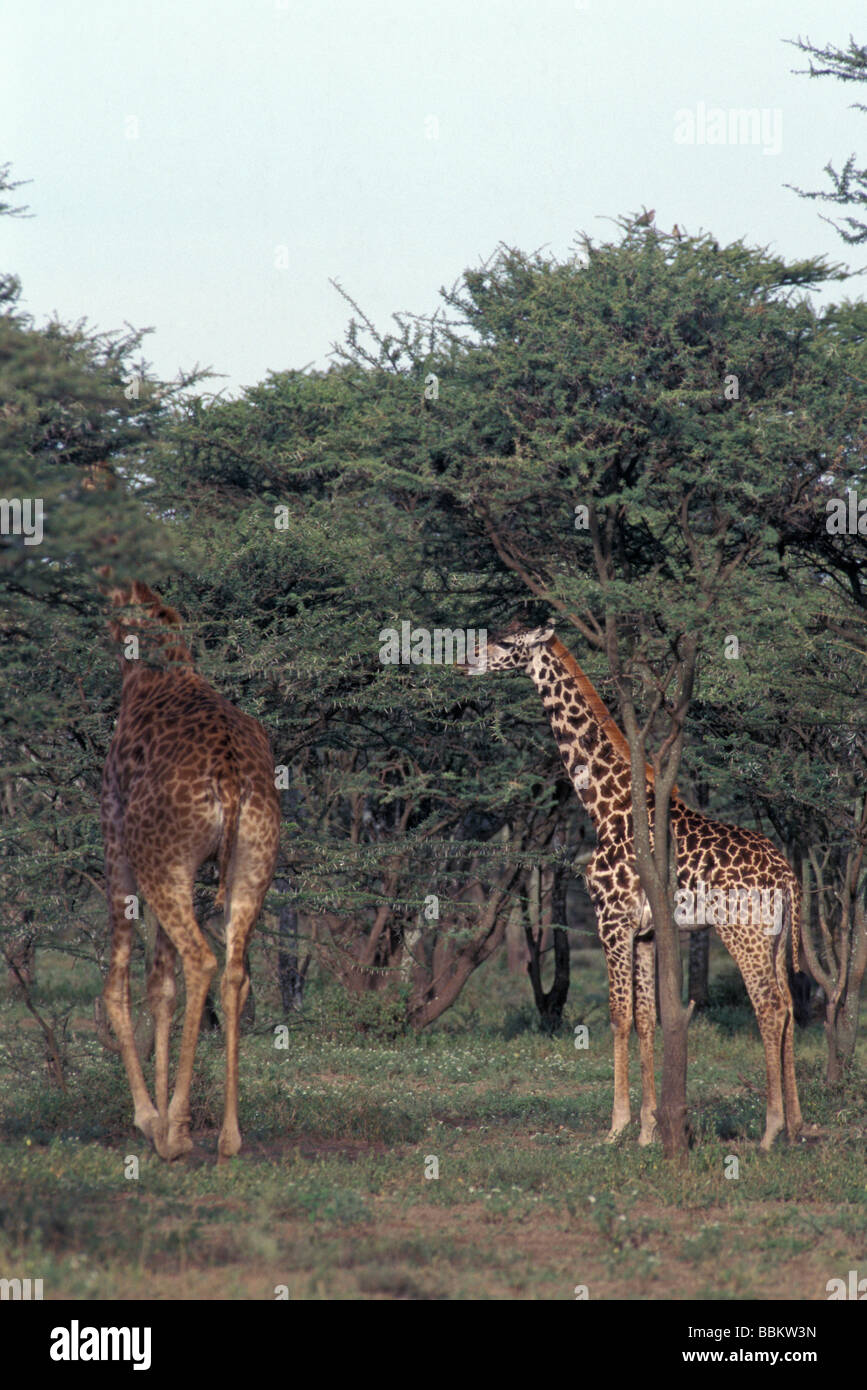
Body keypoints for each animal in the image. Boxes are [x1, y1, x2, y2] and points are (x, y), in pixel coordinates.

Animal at [101, 581, 280, 1161]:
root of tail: (229, 778)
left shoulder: (118, 842)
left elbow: (120, 984)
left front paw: (149, 1119)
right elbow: (161, 985)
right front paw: (157, 1117)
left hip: (162, 863)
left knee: (200, 961)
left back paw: (177, 1132)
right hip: (250, 866)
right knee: (235, 973)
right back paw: (228, 1136)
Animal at [465, 621, 803, 1150]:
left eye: (505, 642)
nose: (466, 659)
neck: (606, 807)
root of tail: (788, 875)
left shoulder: (611, 918)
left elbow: (618, 1015)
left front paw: (616, 1127)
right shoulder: (643, 930)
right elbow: (647, 1018)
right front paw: (648, 1129)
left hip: (742, 932)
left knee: (768, 1008)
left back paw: (770, 1131)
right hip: (774, 936)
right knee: (788, 1007)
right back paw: (797, 1124)